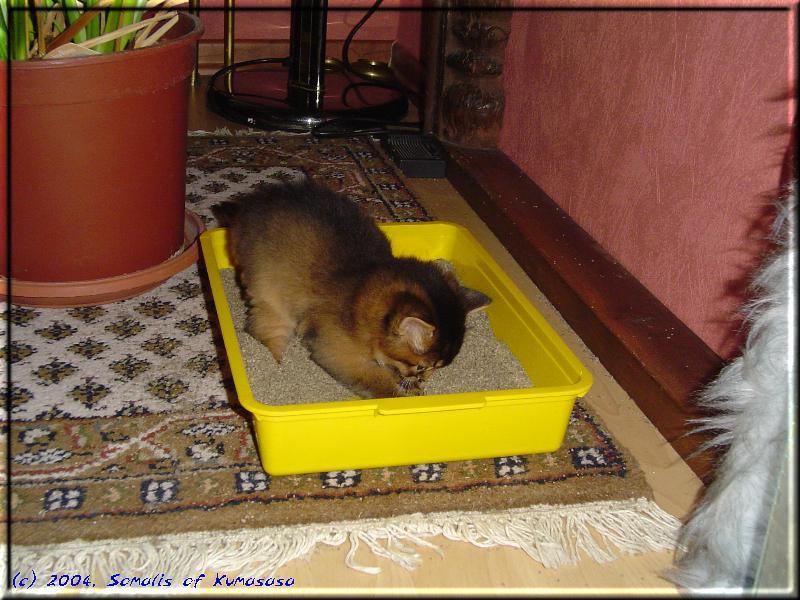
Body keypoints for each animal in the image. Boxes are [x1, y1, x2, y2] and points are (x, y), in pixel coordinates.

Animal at [211, 180, 488, 400]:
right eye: (421, 367)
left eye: (435, 369)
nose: (425, 378)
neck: (363, 289)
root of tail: (248, 206)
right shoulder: (336, 352)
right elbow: (377, 380)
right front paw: (404, 396)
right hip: (269, 292)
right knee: (261, 329)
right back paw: (278, 362)